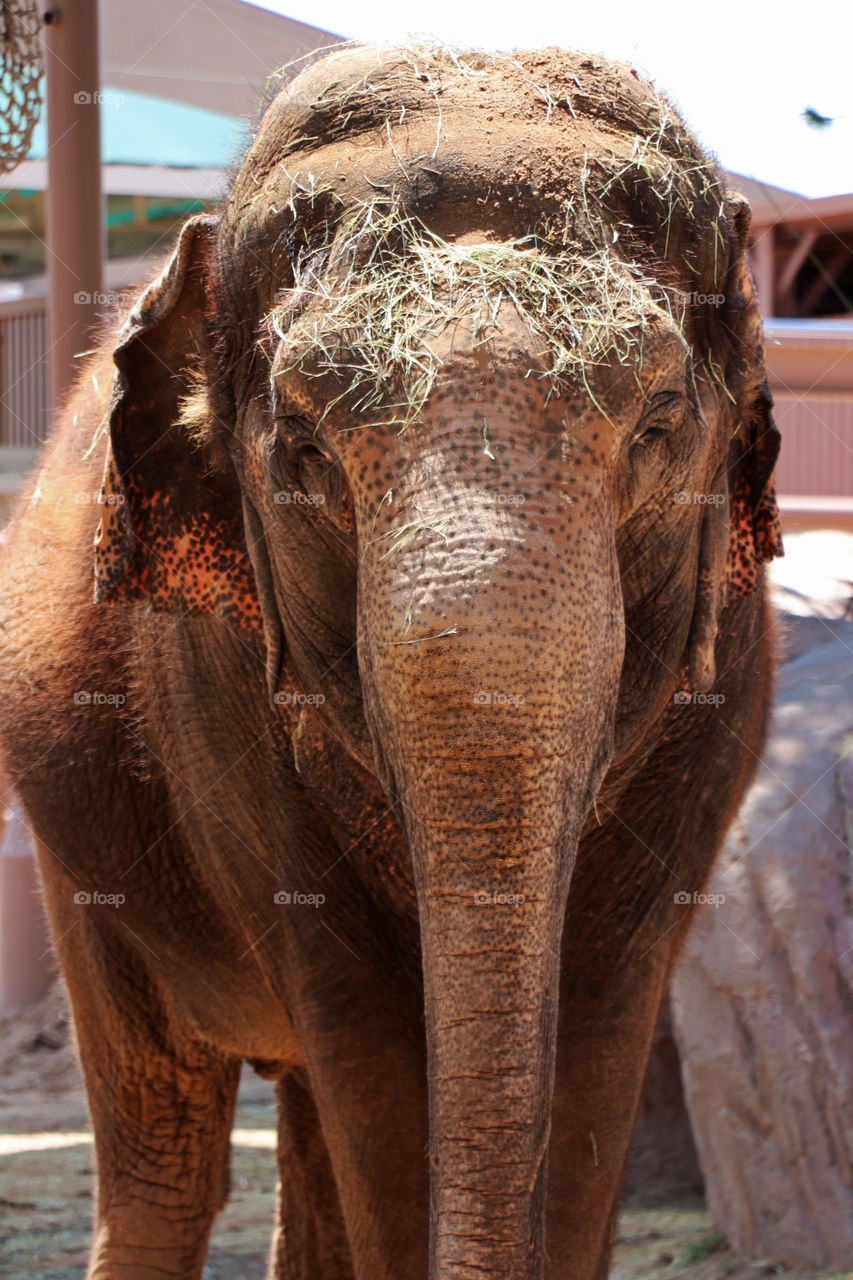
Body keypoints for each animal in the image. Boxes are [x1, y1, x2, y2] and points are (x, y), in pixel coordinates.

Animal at [0, 40, 778, 1280]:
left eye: (658, 426)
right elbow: (368, 1048)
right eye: (304, 450)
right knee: (167, 1148)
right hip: (79, 841)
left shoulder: (725, 698)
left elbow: (601, 1029)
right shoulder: (213, 696)